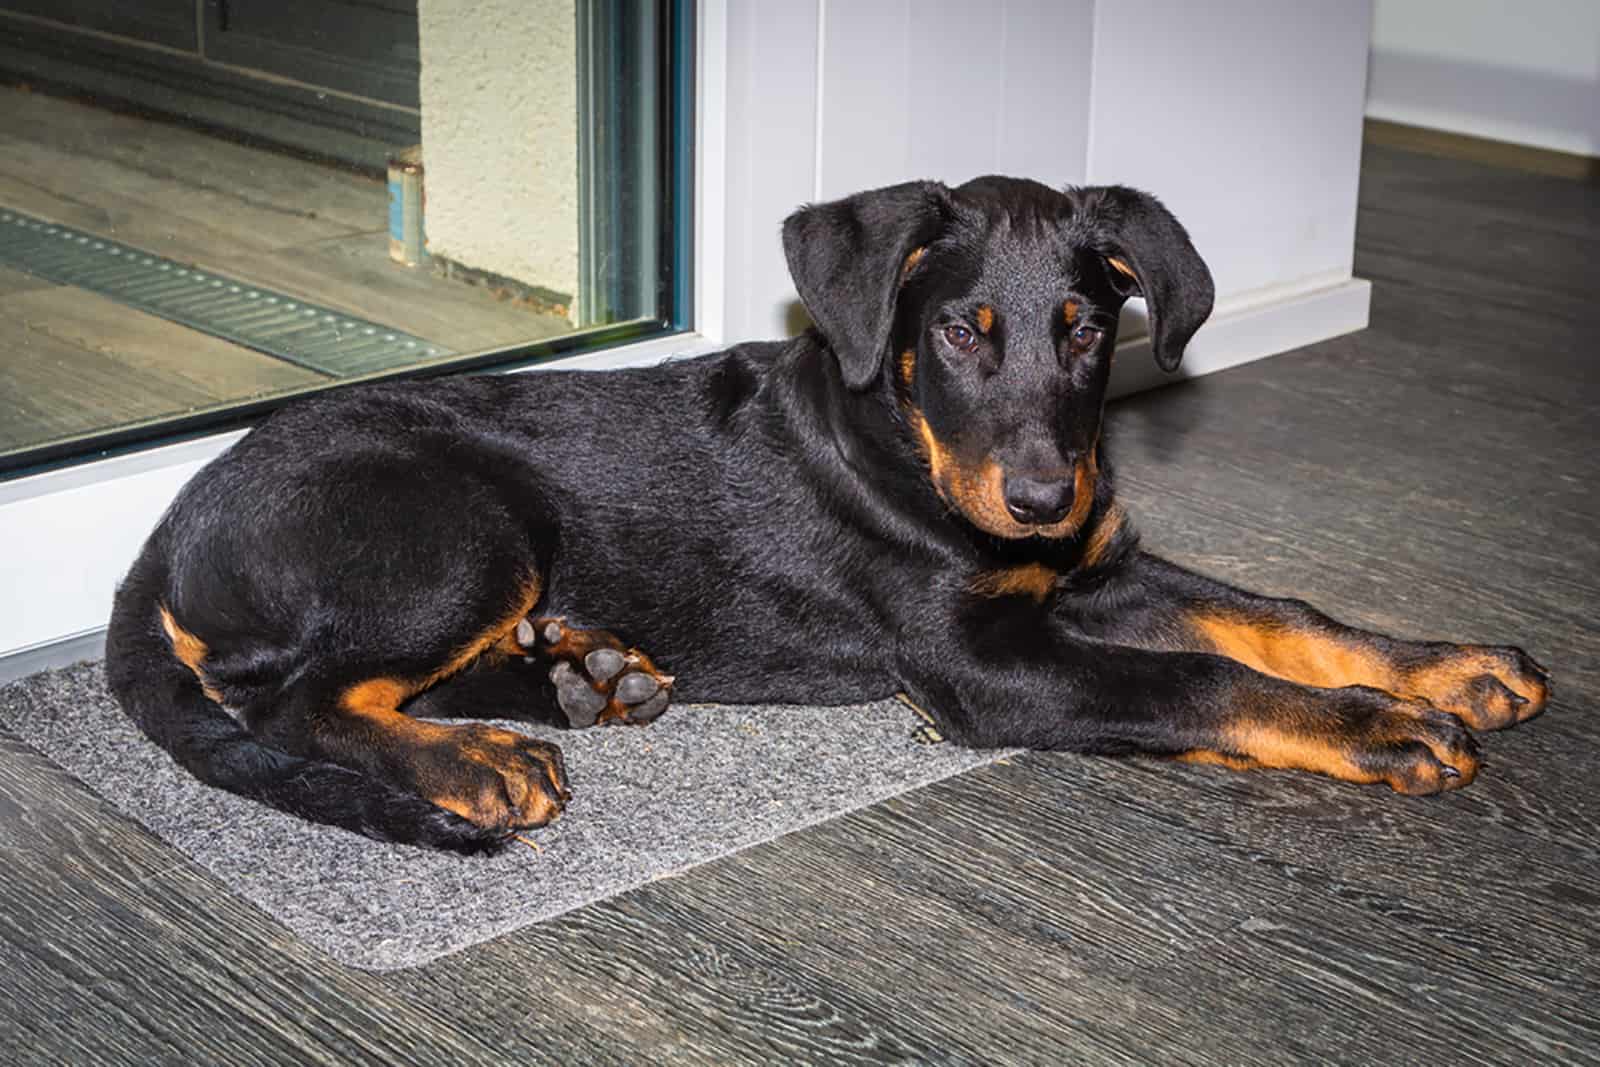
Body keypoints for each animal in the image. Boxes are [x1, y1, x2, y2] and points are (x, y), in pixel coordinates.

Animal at [103, 179, 1548, 857]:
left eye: (1087, 330)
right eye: (962, 331)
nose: (1046, 497)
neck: (910, 444)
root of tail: (171, 521)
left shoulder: (1096, 573)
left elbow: (1276, 614)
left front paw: (1447, 666)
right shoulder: (980, 665)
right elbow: (1199, 675)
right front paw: (1379, 726)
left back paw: (585, 675)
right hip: (468, 528)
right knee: (290, 696)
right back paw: (478, 760)